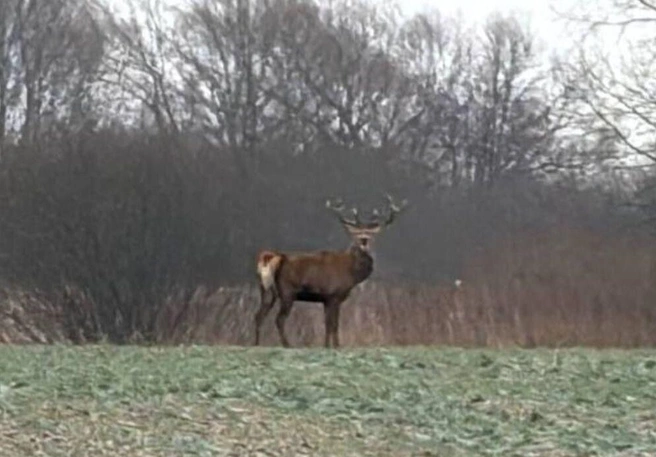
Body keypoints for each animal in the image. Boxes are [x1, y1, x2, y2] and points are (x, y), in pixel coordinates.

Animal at [254, 194, 408, 348]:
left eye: (370, 233)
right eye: (356, 233)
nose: (364, 240)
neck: (352, 274)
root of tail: (275, 258)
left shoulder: (327, 299)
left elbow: (330, 324)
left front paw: (328, 345)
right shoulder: (333, 295)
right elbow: (332, 324)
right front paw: (335, 346)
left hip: (267, 291)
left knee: (258, 316)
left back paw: (256, 344)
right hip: (287, 291)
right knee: (279, 319)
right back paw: (287, 345)